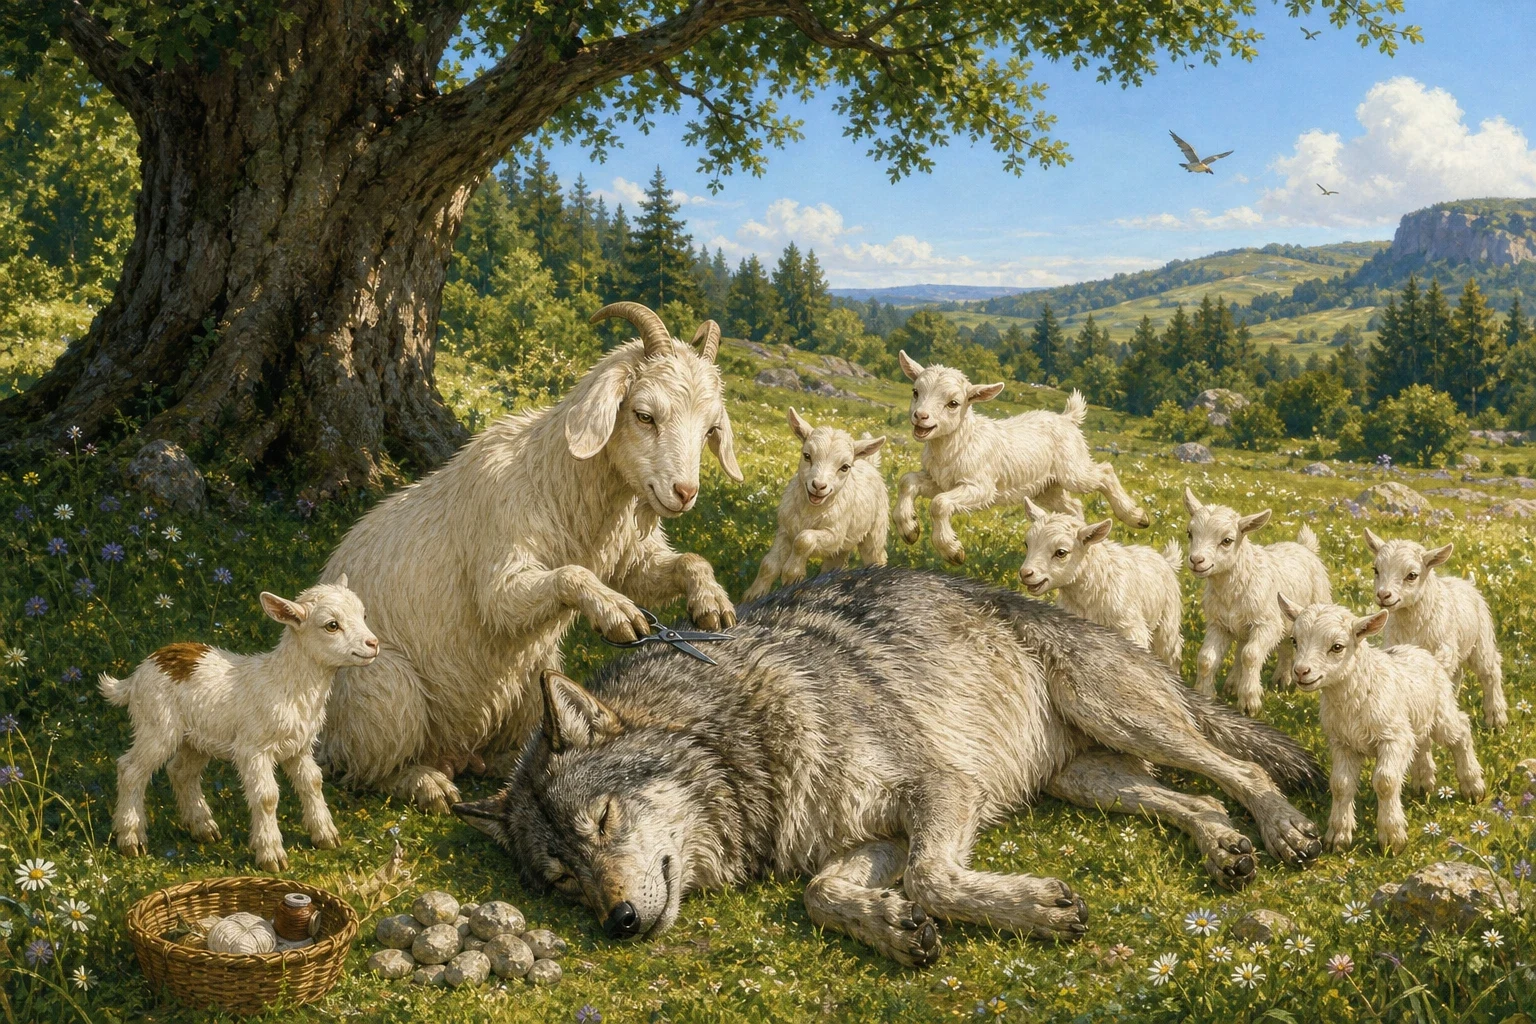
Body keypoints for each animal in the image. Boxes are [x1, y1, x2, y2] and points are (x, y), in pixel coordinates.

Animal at [454, 568, 1322, 966]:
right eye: (562, 880)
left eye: (603, 820)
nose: (620, 923)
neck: (742, 738)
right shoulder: (871, 833)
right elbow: (819, 892)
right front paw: (891, 927)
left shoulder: (941, 790)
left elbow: (934, 878)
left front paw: (1035, 910)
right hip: (1089, 782)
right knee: (1196, 803)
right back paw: (1227, 848)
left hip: (1121, 715)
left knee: (1240, 772)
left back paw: (1283, 829)